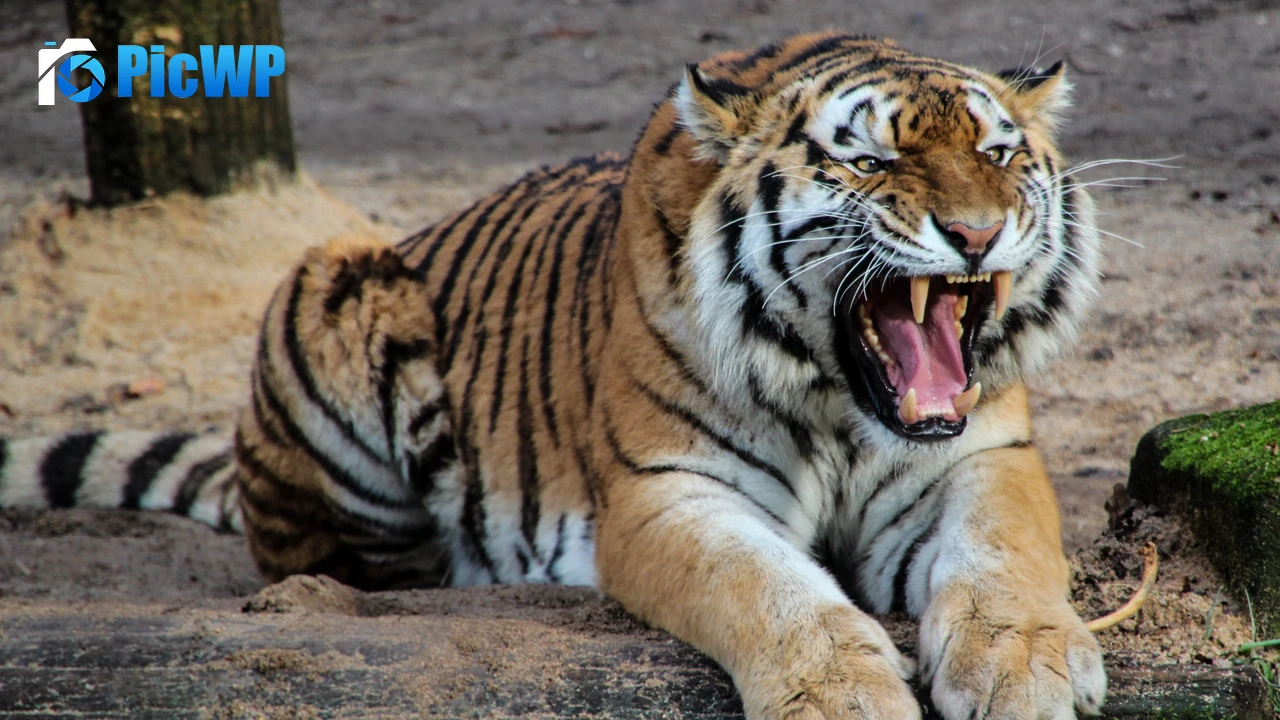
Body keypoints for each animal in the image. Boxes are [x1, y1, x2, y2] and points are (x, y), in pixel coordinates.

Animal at [1, 33, 1108, 719]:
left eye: (998, 155)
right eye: (871, 163)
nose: (976, 234)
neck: (841, 402)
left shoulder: (979, 456)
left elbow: (1006, 556)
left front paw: (1028, 667)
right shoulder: (668, 493)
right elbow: (768, 589)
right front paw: (842, 696)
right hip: (333, 282)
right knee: (336, 560)